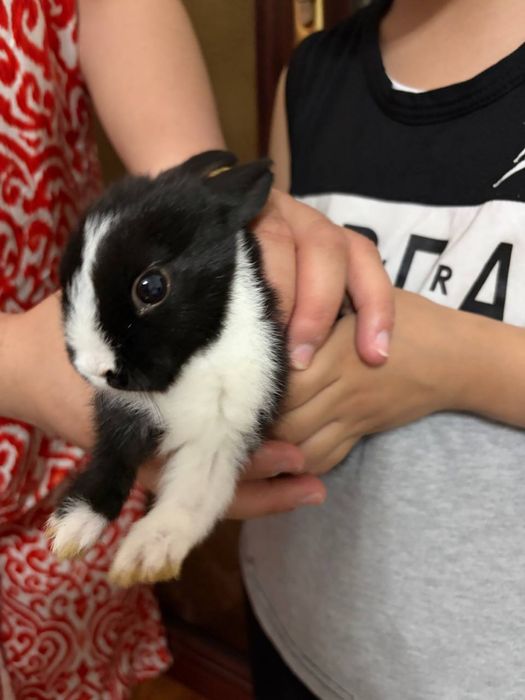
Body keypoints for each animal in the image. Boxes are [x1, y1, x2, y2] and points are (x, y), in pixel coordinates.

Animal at [45, 150, 287, 587]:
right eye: (66, 279)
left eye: (151, 287)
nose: (93, 369)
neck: (193, 363)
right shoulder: (125, 415)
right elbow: (112, 460)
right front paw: (73, 527)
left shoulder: (226, 426)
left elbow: (196, 492)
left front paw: (146, 556)